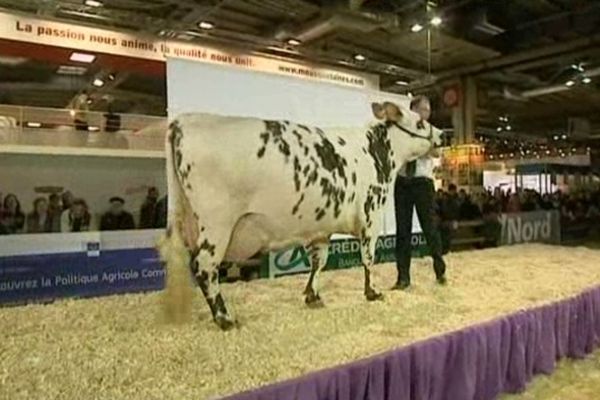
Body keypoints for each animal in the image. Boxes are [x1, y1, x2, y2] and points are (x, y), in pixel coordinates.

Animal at [161, 101, 446, 330]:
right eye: (420, 122)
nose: (443, 135)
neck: (376, 153)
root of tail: (182, 121)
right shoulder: (370, 215)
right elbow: (368, 258)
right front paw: (372, 292)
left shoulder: (322, 228)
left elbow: (319, 262)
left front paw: (313, 296)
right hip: (216, 223)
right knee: (204, 267)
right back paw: (224, 318)